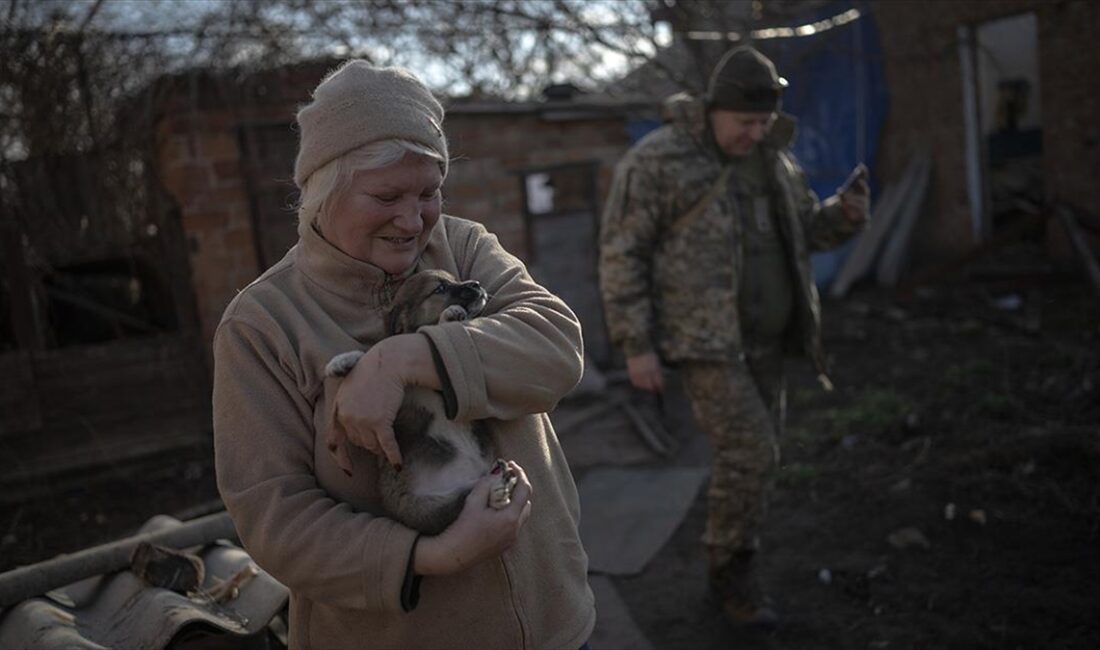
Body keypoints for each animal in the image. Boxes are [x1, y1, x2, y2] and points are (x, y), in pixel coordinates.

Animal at [323, 269, 517, 534]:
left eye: (454, 279)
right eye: (440, 288)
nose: (477, 284)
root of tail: (474, 474)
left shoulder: (444, 391)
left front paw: (451, 316)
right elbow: (369, 353)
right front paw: (341, 363)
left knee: (466, 500)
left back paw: (499, 487)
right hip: (424, 509)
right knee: (464, 500)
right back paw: (498, 487)